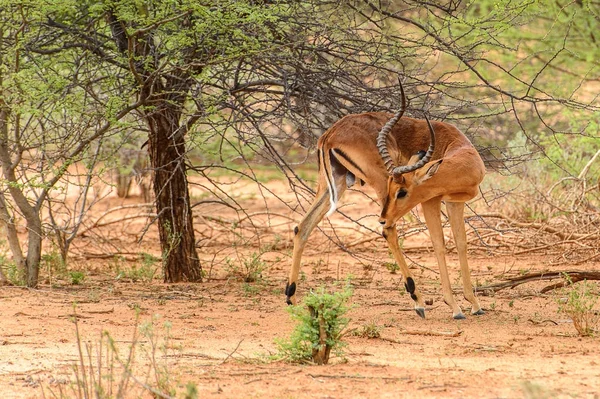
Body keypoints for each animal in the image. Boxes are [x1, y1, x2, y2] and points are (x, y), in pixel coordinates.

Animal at [286, 86, 488, 320]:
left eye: (401, 192)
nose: (382, 218)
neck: (457, 148)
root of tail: (330, 135)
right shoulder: (430, 201)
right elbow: (439, 244)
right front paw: (455, 308)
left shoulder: (455, 203)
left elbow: (461, 243)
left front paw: (475, 304)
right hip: (378, 183)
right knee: (388, 231)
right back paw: (418, 302)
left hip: (334, 185)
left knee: (302, 227)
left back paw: (291, 299)